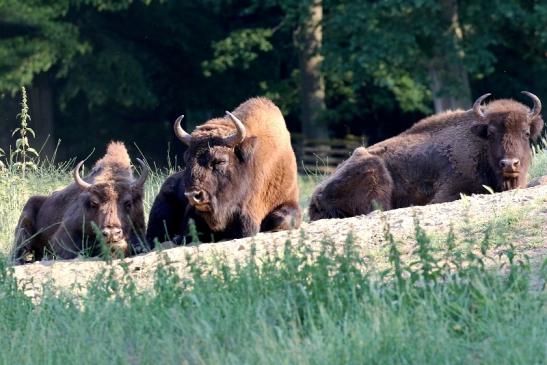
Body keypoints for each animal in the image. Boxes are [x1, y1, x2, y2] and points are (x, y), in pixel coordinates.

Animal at [148, 96, 302, 245]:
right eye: (187, 159)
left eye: (220, 161)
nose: (192, 195)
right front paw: (178, 238)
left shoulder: (288, 199)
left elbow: (281, 219)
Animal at [310, 92, 544, 220]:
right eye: (492, 133)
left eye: (525, 133)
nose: (509, 164)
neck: (480, 146)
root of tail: (315, 196)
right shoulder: (448, 191)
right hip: (374, 169)